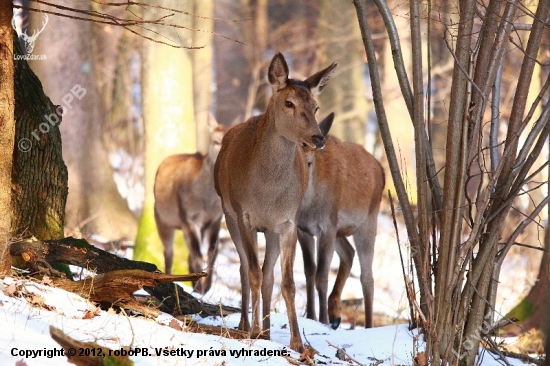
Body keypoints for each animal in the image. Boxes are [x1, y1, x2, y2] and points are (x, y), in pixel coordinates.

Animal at [153, 117, 229, 294]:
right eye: (215, 141)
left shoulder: (215, 219)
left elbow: (212, 252)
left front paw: (205, 288)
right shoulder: (188, 217)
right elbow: (198, 255)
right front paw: (199, 289)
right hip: (162, 219)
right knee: (169, 253)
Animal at [215, 52, 336, 352]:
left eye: (316, 106)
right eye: (289, 103)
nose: (318, 138)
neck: (267, 194)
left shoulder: (288, 222)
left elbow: (288, 282)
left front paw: (297, 343)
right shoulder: (244, 215)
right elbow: (253, 273)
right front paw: (253, 330)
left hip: (270, 231)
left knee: (268, 273)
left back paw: (267, 331)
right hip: (228, 213)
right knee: (244, 268)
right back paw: (246, 324)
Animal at [300, 112, 386, 328]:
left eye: (309, 163)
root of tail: (381, 169)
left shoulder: (326, 227)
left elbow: (322, 275)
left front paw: (321, 320)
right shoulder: (302, 229)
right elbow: (309, 271)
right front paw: (311, 316)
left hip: (368, 221)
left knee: (367, 277)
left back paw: (368, 326)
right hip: (340, 228)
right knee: (348, 252)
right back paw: (335, 313)